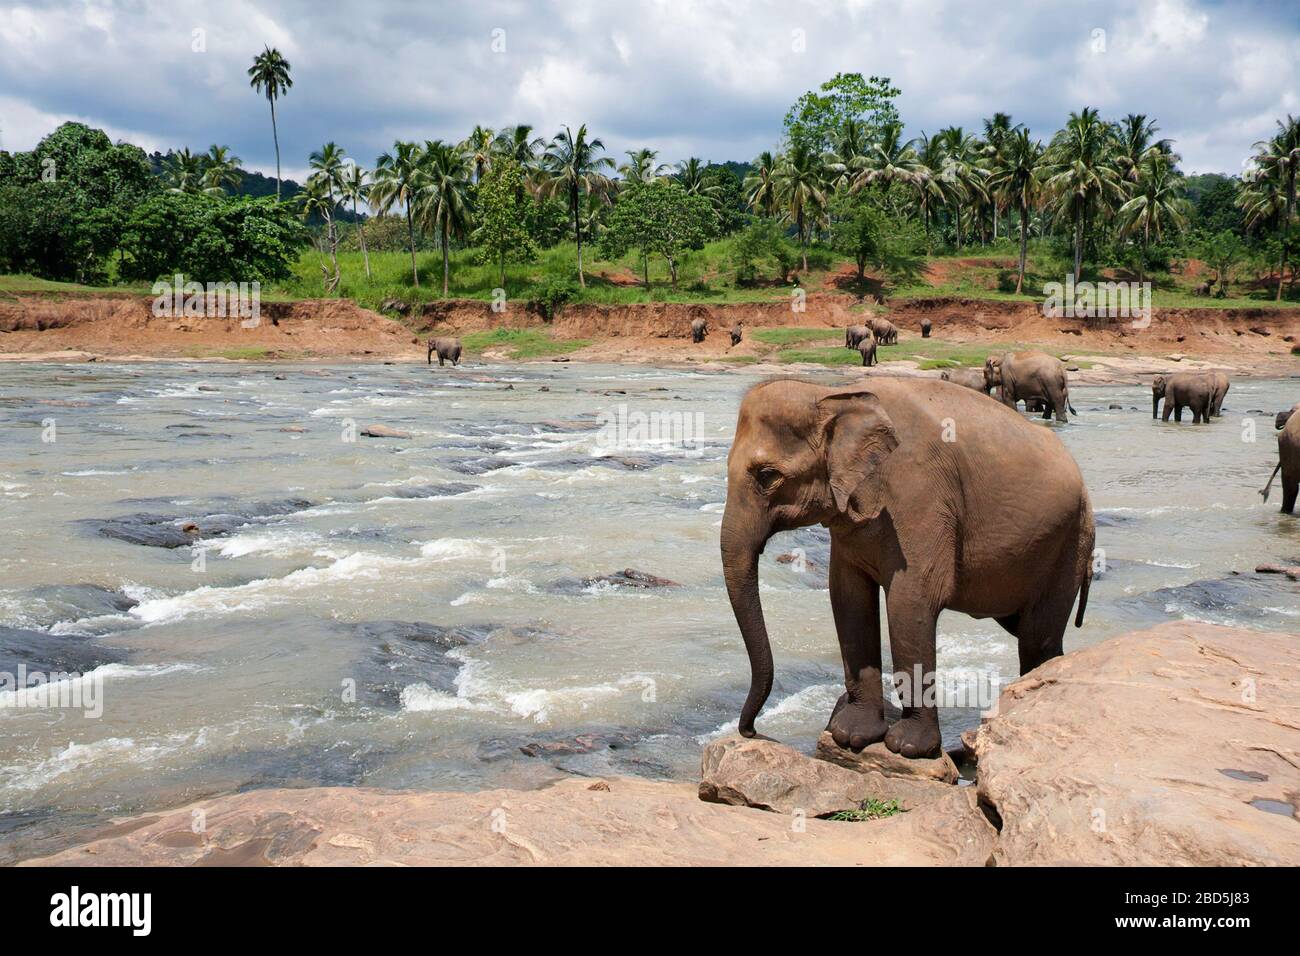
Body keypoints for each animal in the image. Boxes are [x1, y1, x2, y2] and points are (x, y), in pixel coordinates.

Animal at [722, 377, 1097, 759]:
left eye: (767, 476)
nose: (751, 731)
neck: (834, 393)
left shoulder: (920, 494)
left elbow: (910, 601)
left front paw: (908, 747)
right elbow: (848, 598)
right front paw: (852, 735)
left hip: (1070, 541)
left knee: (1037, 639)